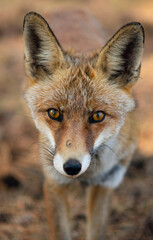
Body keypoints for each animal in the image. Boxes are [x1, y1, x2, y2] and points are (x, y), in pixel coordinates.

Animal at [22, 9, 145, 240]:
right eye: (54, 113)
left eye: (97, 116)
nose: (72, 167)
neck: (88, 175)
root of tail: (69, 9)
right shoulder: (54, 183)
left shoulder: (106, 183)